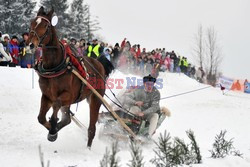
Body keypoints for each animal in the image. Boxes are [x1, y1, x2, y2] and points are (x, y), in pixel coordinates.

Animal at [26, 6, 113, 148]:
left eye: (46, 26)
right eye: (32, 23)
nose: (30, 44)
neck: (54, 66)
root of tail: (99, 65)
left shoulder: (68, 95)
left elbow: (56, 104)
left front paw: (53, 127)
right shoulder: (46, 95)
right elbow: (41, 118)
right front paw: (52, 130)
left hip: (96, 99)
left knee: (91, 129)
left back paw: (88, 148)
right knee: (67, 119)